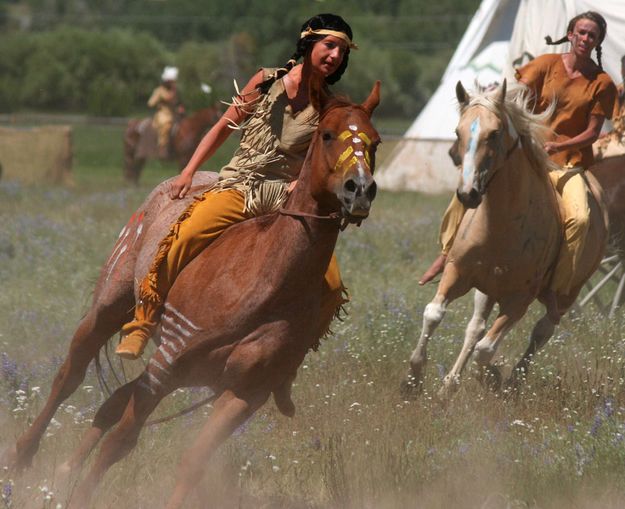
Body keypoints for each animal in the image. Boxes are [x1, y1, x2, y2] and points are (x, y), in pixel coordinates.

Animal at [6, 81, 380, 506]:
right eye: (327, 134)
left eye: (376, 141)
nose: (360, 189)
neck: (262, 281)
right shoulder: (168, 363)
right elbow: (121, 440)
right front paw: (81, 496)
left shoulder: (245, 392)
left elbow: (192, 462)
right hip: (110, 308)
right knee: (69, 376)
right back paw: (22, 457)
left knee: (113, 400)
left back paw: (64, 470)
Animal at [402, 79, 608, 396]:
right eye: (458, 132)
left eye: (494, 133)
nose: (468, 194)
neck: (501, 224)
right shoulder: (457, 273)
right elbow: (435, 314)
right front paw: (414, 378)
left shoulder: (519, 299)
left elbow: (486, 350)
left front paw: (492, 377)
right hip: (487, 290)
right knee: (475, 327)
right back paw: (451, 384)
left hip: (565, 296)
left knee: (541, 331)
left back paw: (511, 381)